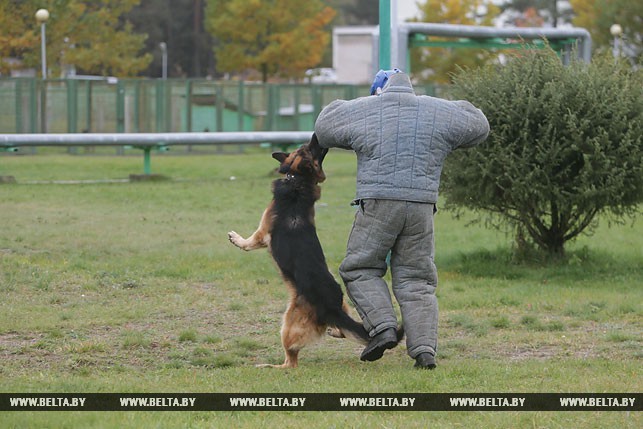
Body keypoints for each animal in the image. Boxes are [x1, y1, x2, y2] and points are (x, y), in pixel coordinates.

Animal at [229, 135, 380, 368]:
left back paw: (269, 366)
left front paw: (236, 239)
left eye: (308, 148)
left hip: (288, 325)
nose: (316, 136)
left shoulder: (262, 234)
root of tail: (332, 308)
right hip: (344, 304)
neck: (299, 180)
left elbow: (248, 243)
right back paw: (334, 331)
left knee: (291, 362)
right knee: (345, 330)